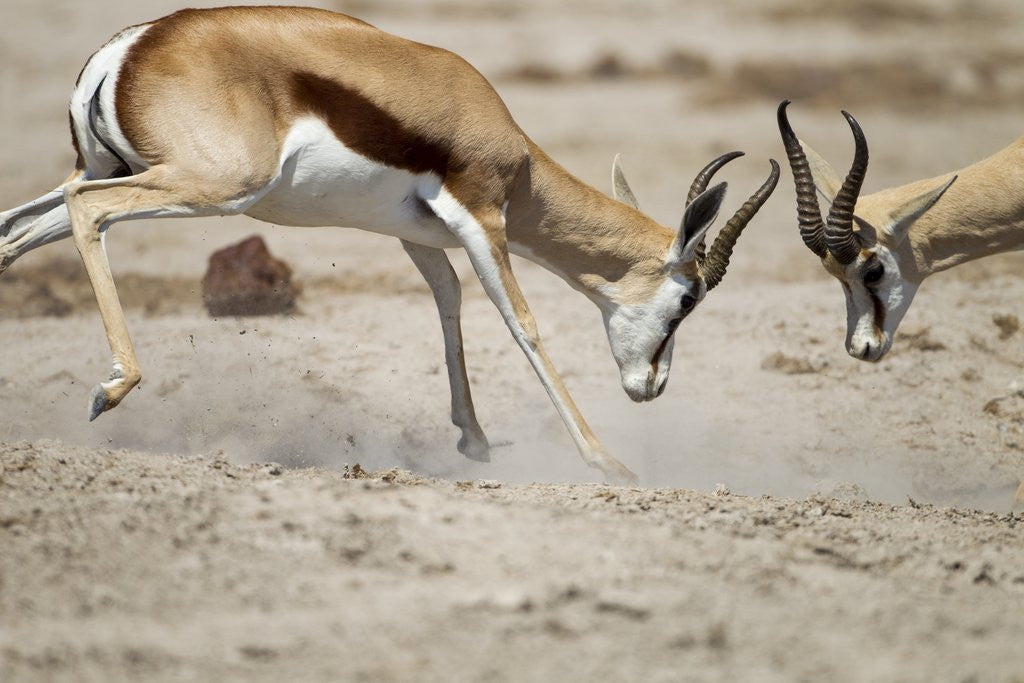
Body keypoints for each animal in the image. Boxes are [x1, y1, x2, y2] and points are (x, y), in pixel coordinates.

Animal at [0, 7, 778, 484]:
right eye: (687, 298)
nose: (651, 386)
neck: (512, 149)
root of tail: (131, 46)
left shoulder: (417, 235)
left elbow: (449, 301)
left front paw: (475, 440)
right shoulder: (482, 219)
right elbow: (520, 322)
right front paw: (607, 462)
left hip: (114, 170)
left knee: (14, 231)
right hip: (204, 187)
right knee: (88, 214)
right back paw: (113, 387)